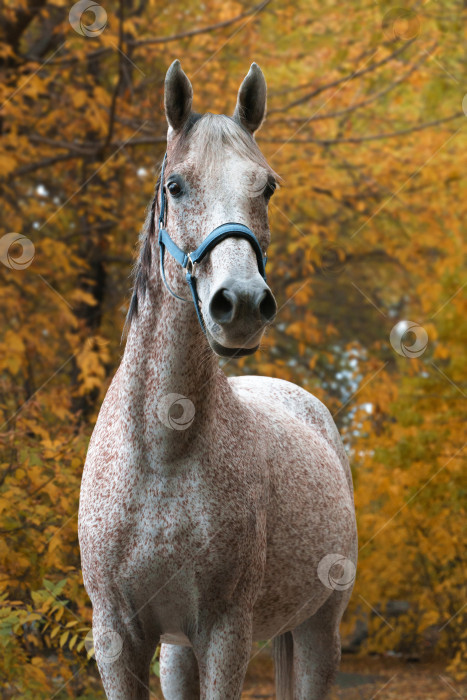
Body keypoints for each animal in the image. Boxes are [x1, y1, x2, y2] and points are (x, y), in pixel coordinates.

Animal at [79, 61, 358, 700]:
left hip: (318, 633)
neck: (162, 451)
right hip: (177, 652)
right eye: (175, 186)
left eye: (268, 187)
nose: (244, 303)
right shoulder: (118, 638)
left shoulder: (226, 633)